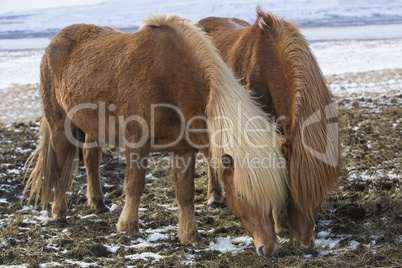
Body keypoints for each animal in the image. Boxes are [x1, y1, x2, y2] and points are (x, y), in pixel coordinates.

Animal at [23, 14, 288, 255]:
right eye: (241, 194)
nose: (269, 248)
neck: (169, 77)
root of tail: (56, 40)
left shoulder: (183, 149)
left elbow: (185, 194)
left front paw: (190, 235)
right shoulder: (136, 145)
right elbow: (134, 185)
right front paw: (128, 227)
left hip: (92, 126)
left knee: (90, 159)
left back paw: (98, 204)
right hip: (58, 122)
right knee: (59, 165)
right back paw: (58, 213)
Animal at [199, 7, 342, 247]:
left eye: (319, 193)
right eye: (290, 189)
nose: (304, 242)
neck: (267, 59)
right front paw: (280, 224)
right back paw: (214, 196)